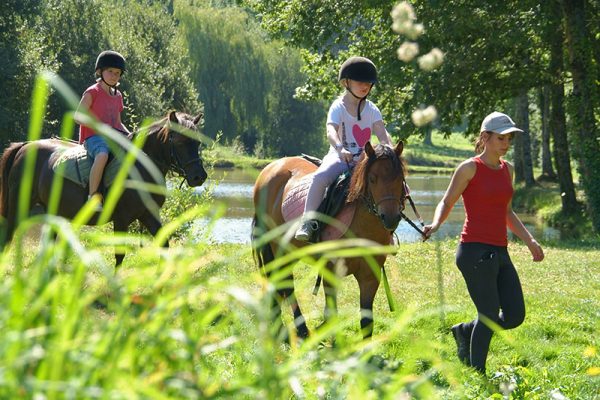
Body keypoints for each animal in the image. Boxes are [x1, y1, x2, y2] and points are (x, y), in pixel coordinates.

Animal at [0, 109, 207, 266]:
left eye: (197, 142)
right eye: (180, 141)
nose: (199, 177)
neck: (139, 167)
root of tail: (25, 146)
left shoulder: (149, 214)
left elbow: (164, 245)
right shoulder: (122, 218)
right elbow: (120, 255)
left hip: (53, 210)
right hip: (19, 206)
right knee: (8, 236)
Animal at [251, 142, 410, 340]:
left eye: (400, 178)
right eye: (372, 178)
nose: (390, 218)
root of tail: (271, 167)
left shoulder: (370, 275)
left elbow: (367, 321)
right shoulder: (330, 271)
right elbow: (331, 315)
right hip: (279, 248)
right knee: (285, 284)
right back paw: (300, 329)